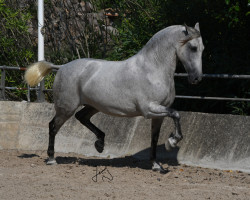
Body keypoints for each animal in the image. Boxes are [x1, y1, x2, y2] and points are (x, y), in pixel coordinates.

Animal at [24, 23, 203, 173]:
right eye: (193, 48)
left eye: (202, 49)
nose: (196, 79)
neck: (152, 69)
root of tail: (61, 67)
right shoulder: (149, 109)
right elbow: (176, 114)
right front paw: (171, 142)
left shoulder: (158, 114)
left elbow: (154, 138)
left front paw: (157, 165)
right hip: (66, 108)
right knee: (53, 126)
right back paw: (51, 159)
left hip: (93, 106)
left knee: (81, 117)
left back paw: (100, 144)